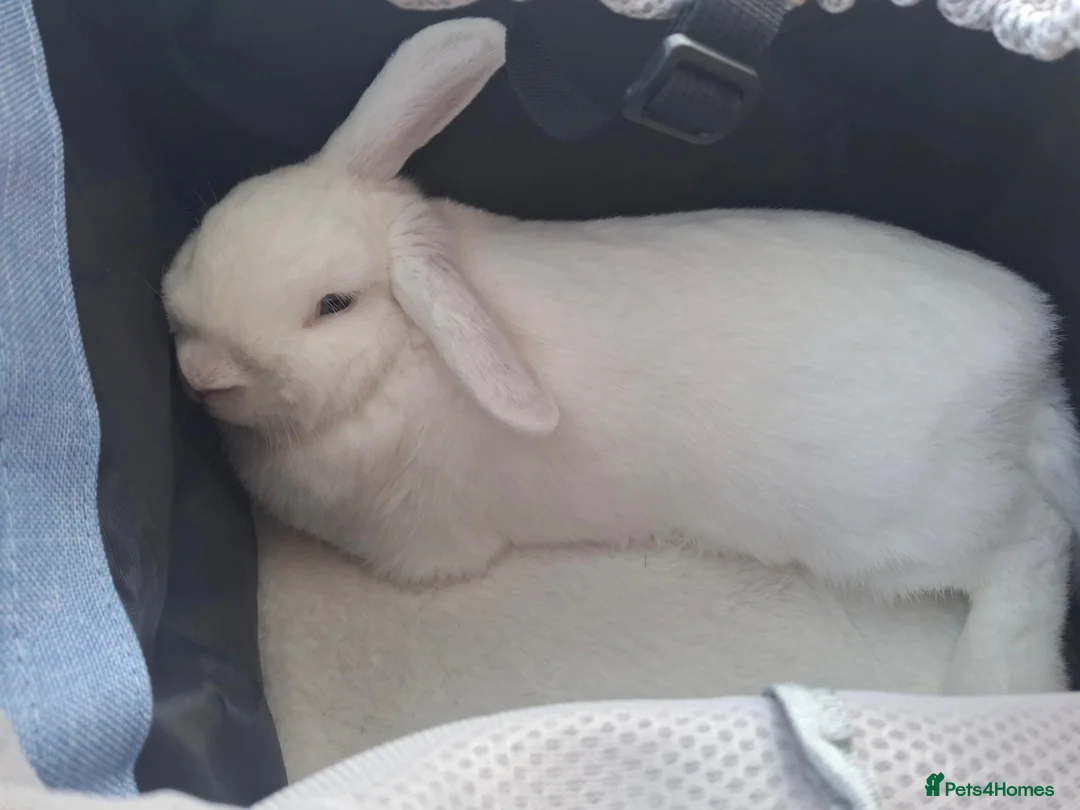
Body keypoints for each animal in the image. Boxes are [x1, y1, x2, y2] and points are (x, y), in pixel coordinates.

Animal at [162, 18, 1080, 696]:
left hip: (900, 529)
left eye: (333, 305)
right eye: (215, 224)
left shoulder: (426, 545)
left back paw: (997, 680)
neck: (402, 359)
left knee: (1034, 543)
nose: (201, 371)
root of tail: (1031, 372)